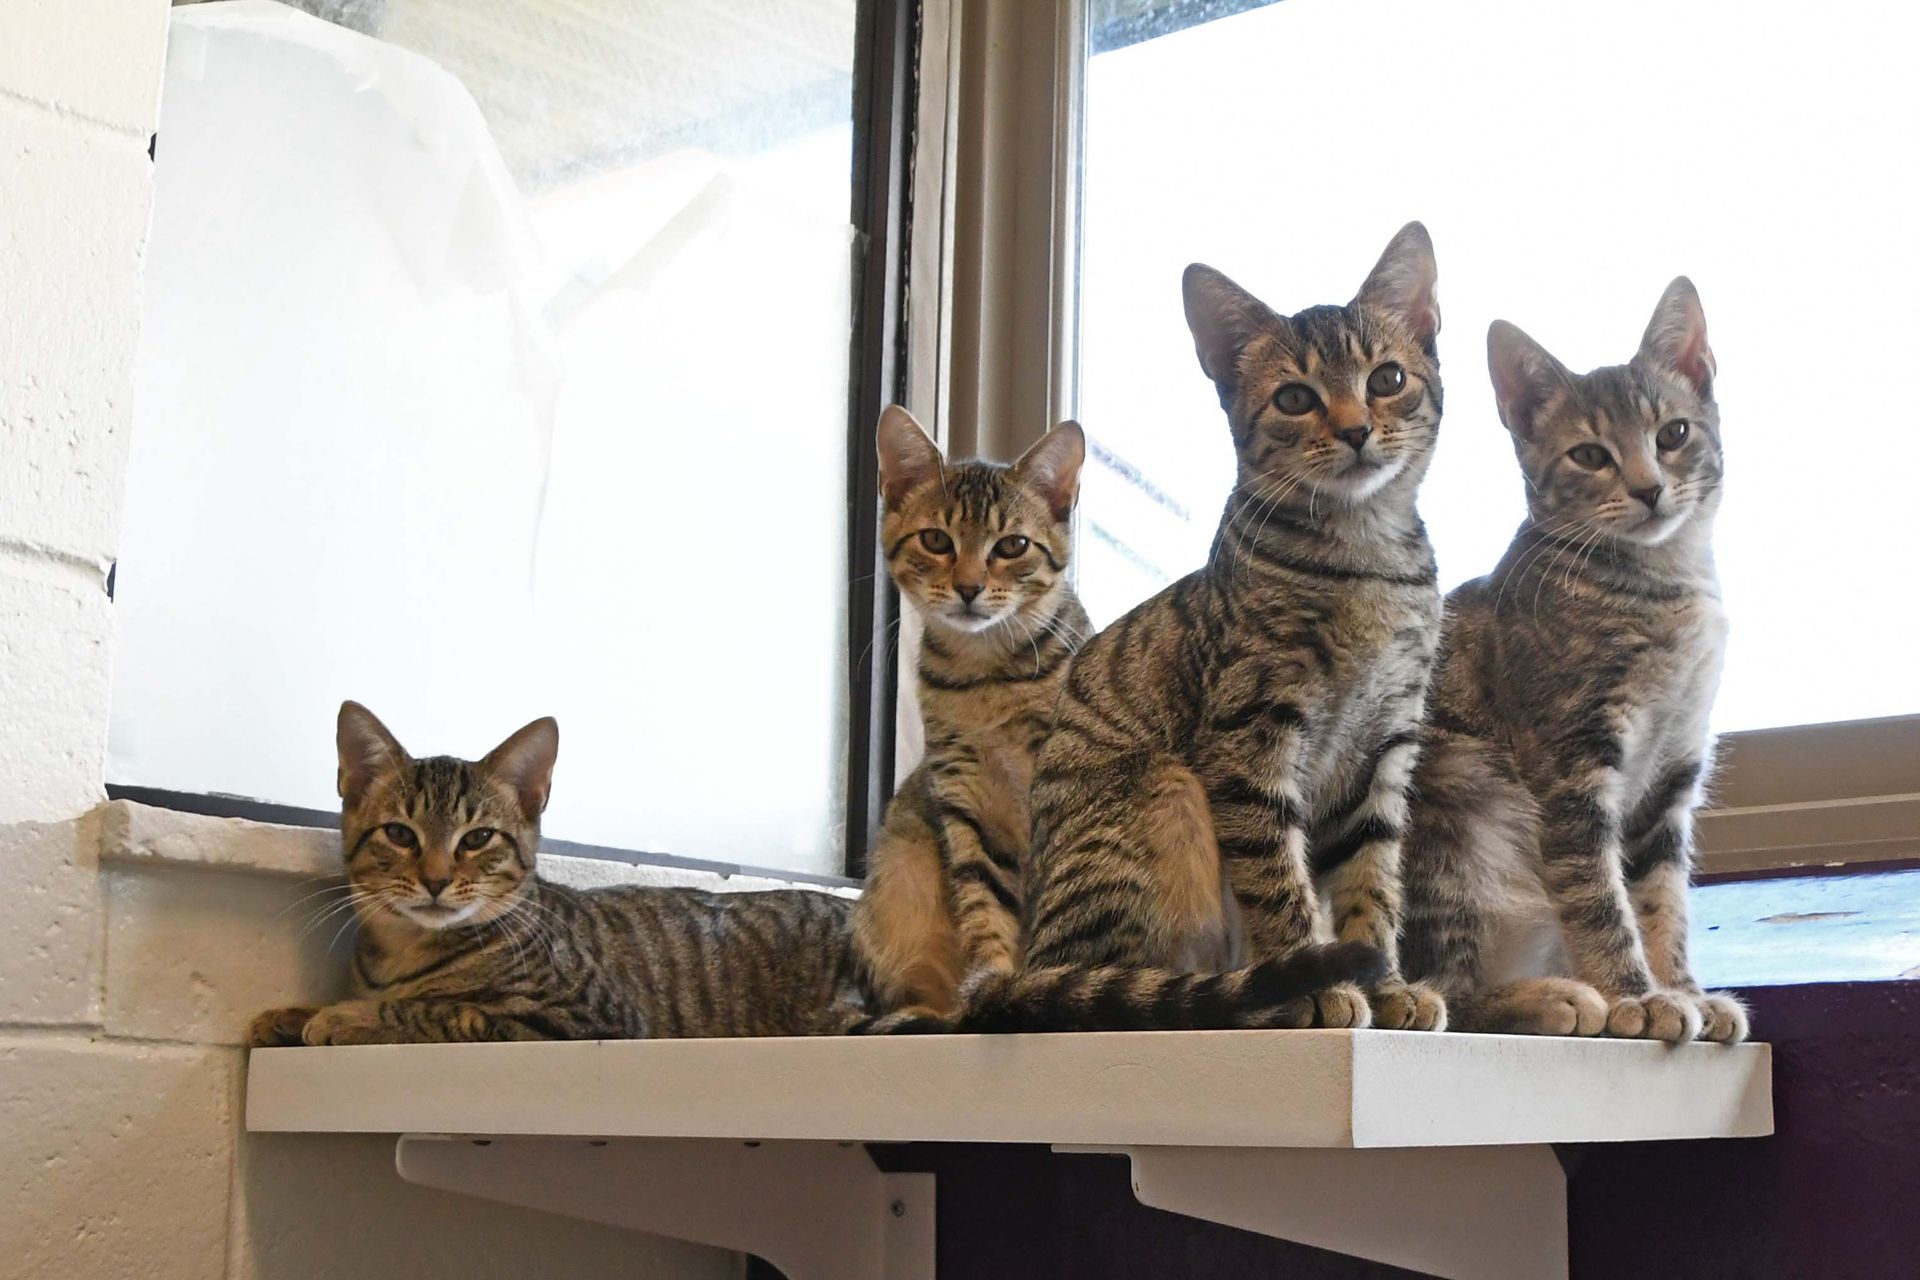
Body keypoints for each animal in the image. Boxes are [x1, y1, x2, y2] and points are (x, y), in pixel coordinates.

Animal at [251, 706, 867, 1043]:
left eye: (477, 838)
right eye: (401, 835)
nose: (435, 879)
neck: (404, 955)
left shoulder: (589, 1018)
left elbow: (447, 1011)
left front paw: (347, 1017)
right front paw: (295, 1012)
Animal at [856, 410, 1098, 1028]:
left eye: (1012, 545)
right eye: (936, 539)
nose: (968, 587)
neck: (987, 677)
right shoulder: (964, 800)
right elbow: (984, 904)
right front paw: (992, 981)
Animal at [967, 225, 1443, 1036]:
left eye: (1386, 379)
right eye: (1295, 397)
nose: (1356, 430)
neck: (1364, 559)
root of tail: (1020, 971)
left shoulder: (1384, 748)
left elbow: (1371, 884)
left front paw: (1386, 985)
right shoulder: (1249, 735)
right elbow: (1278, 879)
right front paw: (1316, 982)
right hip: (1164, 789)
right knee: (1115, 989)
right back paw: (1243, 998)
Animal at [1397, 278, 1758, 1043]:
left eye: (1673, 434)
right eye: (1590, 456)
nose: (1650, 488)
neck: (1664, 585)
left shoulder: (1672, 774)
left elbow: (1661, 901)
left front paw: (1683, 989)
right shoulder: (1570, 766)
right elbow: (1598, 896)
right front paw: (1638, 997)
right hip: (1460, 811)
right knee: (1443, 991)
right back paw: (1553, 997)